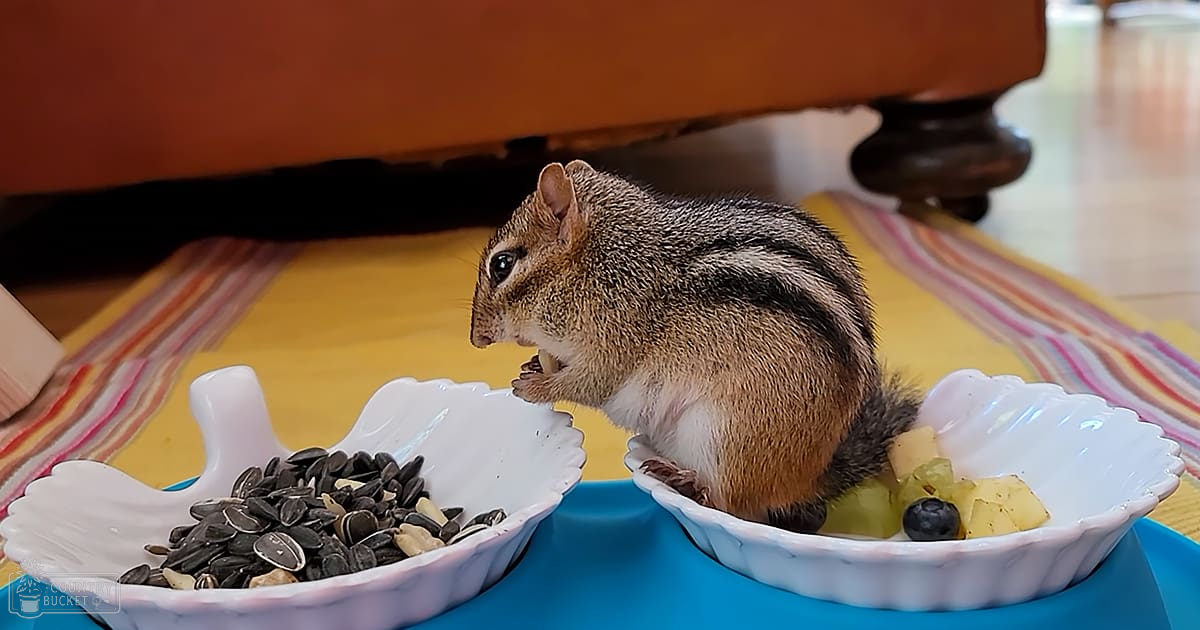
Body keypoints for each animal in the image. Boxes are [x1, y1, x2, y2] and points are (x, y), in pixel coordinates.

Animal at [469, 160, 920, 532]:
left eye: (502, 265)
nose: (476, 338)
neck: (602, 266)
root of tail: (808, 477)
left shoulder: (613, 344)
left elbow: (588, 385)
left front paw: (533, 387)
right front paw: (532, 365)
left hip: (726, 436)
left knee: (730, 504)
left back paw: (686, 481)